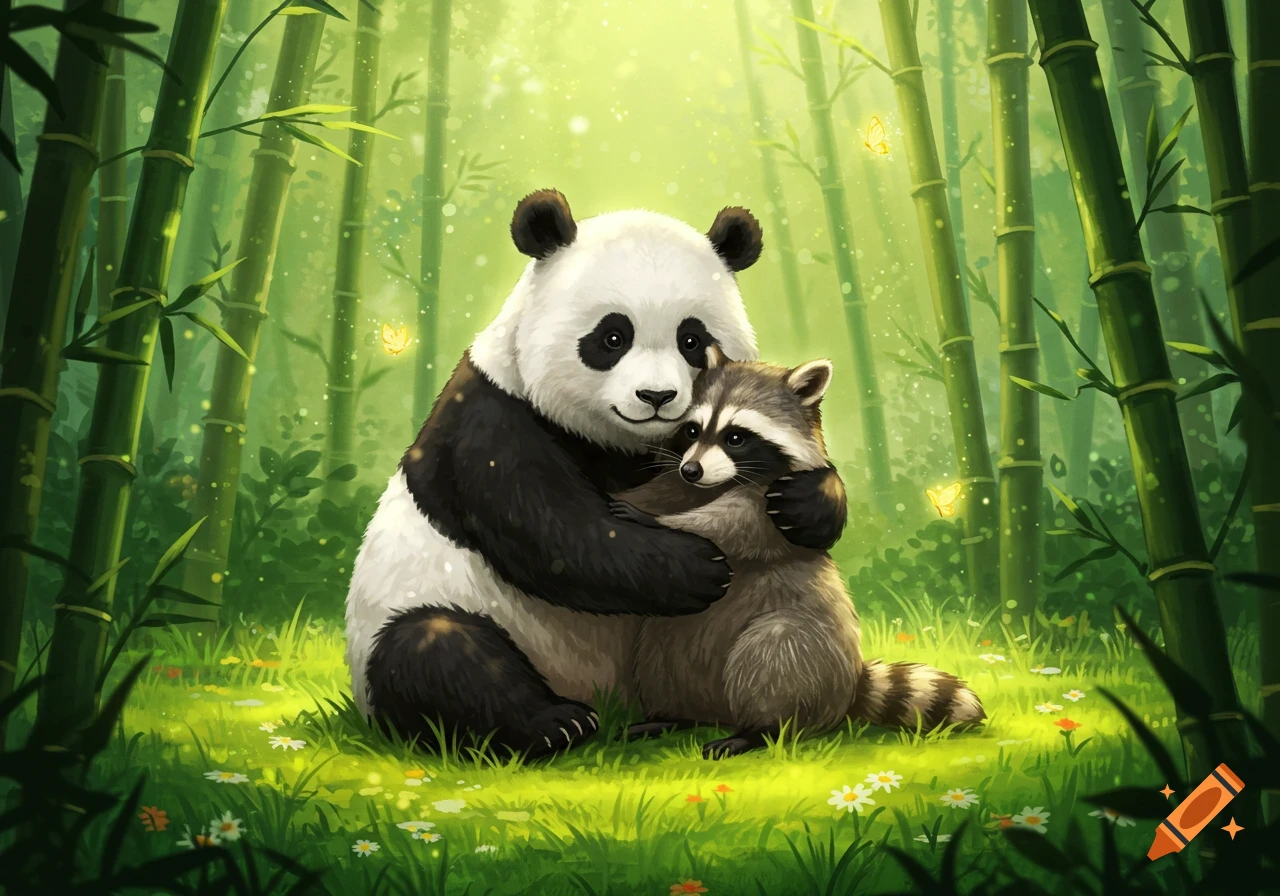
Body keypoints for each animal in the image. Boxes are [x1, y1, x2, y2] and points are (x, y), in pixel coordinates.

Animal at [344, 189, 849, 757]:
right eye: (612, 337)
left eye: (691, 340)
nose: (656, 396)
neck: (615, 439)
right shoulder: (491, 419)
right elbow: (549, 532)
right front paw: (696, 567)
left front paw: (805, 503)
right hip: (417, 616)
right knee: (435, 654)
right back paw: (555, 723)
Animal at [610, 345, 984, 758]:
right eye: (693, 429)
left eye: (735, 437)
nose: (691, 469)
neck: (720, 482)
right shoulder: (677, 484)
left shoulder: (774, 505)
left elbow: (730, 527)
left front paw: (658, 522)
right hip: (668, 646)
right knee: (659, 664)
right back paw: (672, 716)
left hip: (804, 649)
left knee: (773, 658)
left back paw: (760, 730)